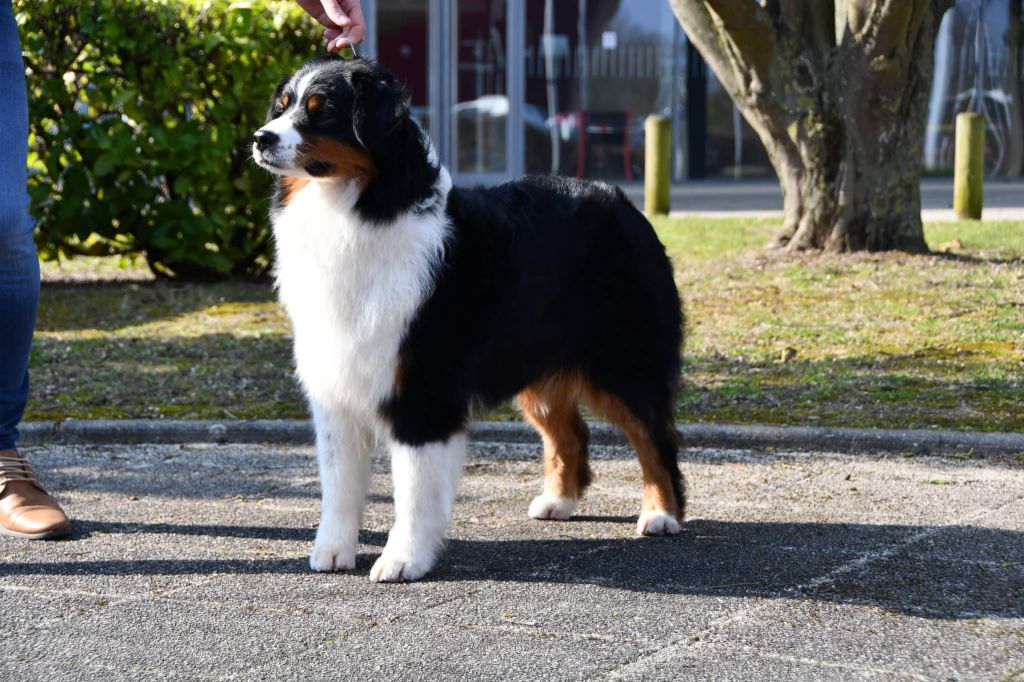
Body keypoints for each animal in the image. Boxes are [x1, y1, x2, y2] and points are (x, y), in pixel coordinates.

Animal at [253, 55, 688, 581]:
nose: (260, 137)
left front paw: (403, 560)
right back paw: (558, 501)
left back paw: (661, 513)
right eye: (283, 106)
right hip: (534, 365)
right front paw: (333, 552)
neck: (353, 210)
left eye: (322, 111)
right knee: (571, 433)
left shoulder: (423, 390)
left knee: (654, 436)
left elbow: (414, 490)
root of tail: (621, 200)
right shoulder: (337, 383)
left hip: (624, 362)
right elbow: (339, 482)